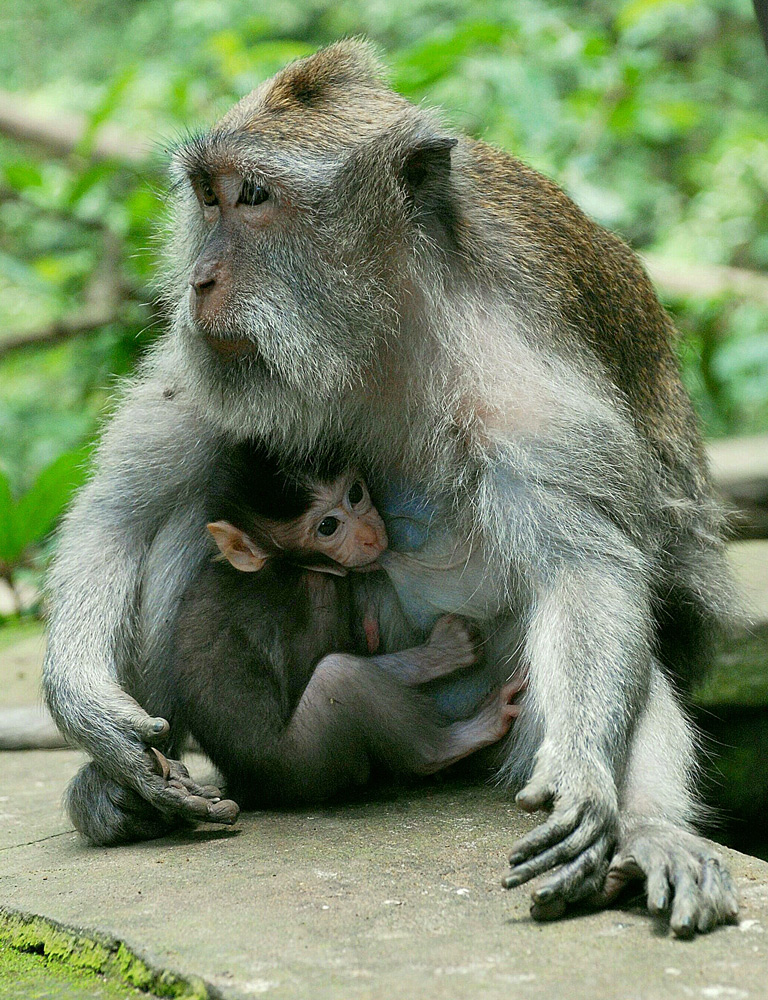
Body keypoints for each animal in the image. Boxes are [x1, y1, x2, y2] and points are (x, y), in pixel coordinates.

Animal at [170, 448, 520, 812]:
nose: (370, 535)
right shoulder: (315, 589)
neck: (284, 564)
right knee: (339, 674)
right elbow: (307, 672)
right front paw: (443, 650)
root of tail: (248, 788)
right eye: (328, 526)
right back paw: (449, 745)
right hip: (307, 767)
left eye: (355, 494)